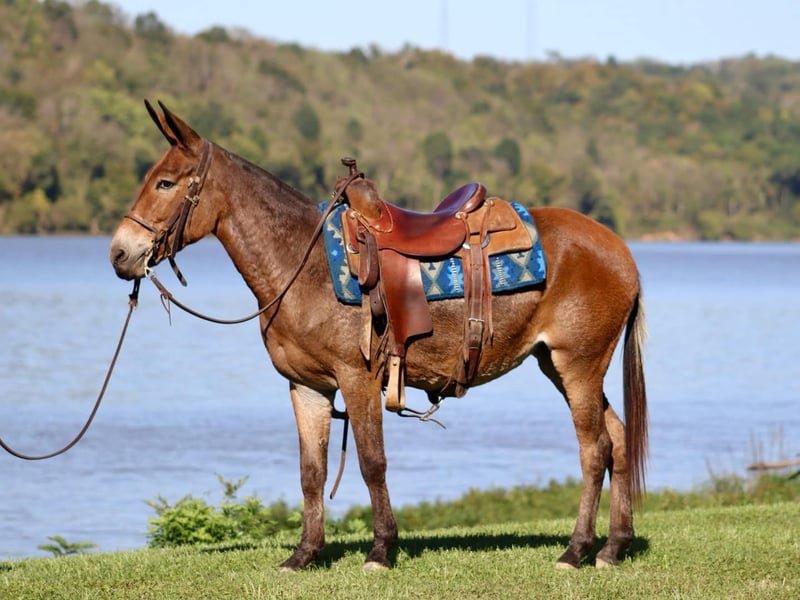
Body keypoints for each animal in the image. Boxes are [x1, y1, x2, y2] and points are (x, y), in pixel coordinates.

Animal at [109, 101, 648, 571]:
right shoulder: (307, 386)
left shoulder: (358, 379)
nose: (119, 253)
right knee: (619, 440)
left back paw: (576, 551)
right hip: (560, 366)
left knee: (595, 449)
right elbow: (311, 472)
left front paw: (381, 550)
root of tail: (621, 250)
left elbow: (372, 462)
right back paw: (613, 546)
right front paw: (305, 555)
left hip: (577, 365)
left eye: (165, 182)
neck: (302, 263)